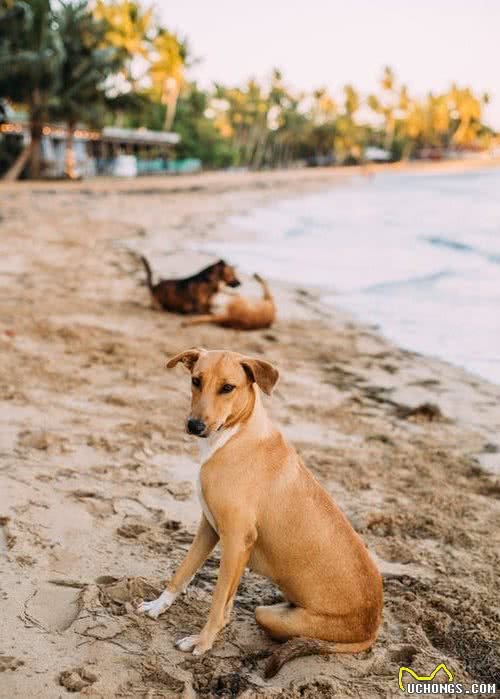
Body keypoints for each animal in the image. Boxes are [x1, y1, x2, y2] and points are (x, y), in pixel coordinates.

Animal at [138, 350, 382, 680]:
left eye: (228, 388)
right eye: (196, 381)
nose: (194, 426)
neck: (234, 435)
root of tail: (372, 627)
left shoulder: (236, 540)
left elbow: (218, 599)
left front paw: (203, 642)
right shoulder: (211, 530)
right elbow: (185, 573)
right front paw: (159, 606)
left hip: (270, 615)